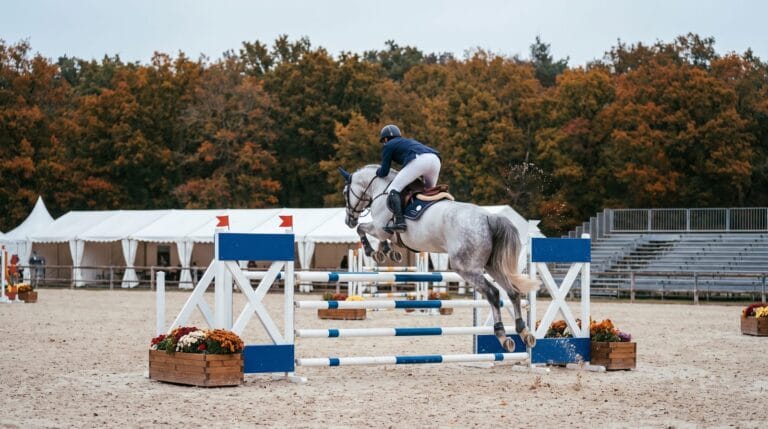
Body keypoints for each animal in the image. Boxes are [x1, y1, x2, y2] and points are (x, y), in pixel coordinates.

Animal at [339, 164, 540, 351]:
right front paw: (388, 252)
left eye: (345, 192)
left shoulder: (380, 228)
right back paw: (524, 332)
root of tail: (488, 218)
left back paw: (503, 335)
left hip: (466, 268)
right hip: (493, 266)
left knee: (493, 293)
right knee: (513, 292)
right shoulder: (384, 232)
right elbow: (380, 238)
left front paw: (372, 251)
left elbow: (363, 229)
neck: (382, 189)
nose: (349, 221)